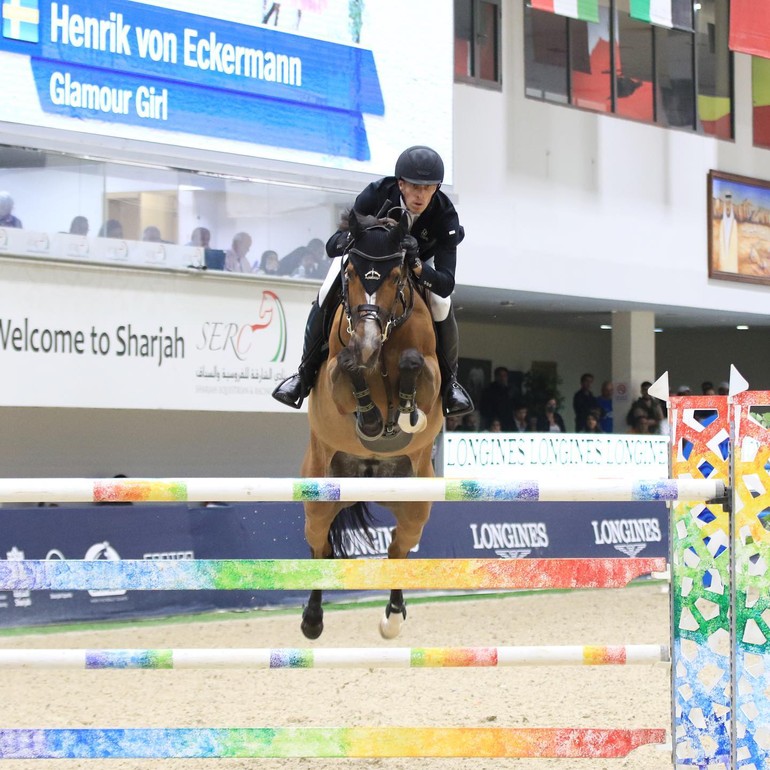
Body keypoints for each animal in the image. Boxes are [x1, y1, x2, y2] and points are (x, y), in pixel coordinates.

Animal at [302, 207, 444, 640]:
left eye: (397, 277)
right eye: (349, 273)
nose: (366, 341)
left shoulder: (432, 375)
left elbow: (413, 363)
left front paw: (405, 414)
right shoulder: (334, 374)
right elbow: (348, 365)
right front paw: (371, 419)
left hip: (416, 504)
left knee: (399, 546)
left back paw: (393, 617)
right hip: (319, 494)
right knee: (320, 548)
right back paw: (312, 620)